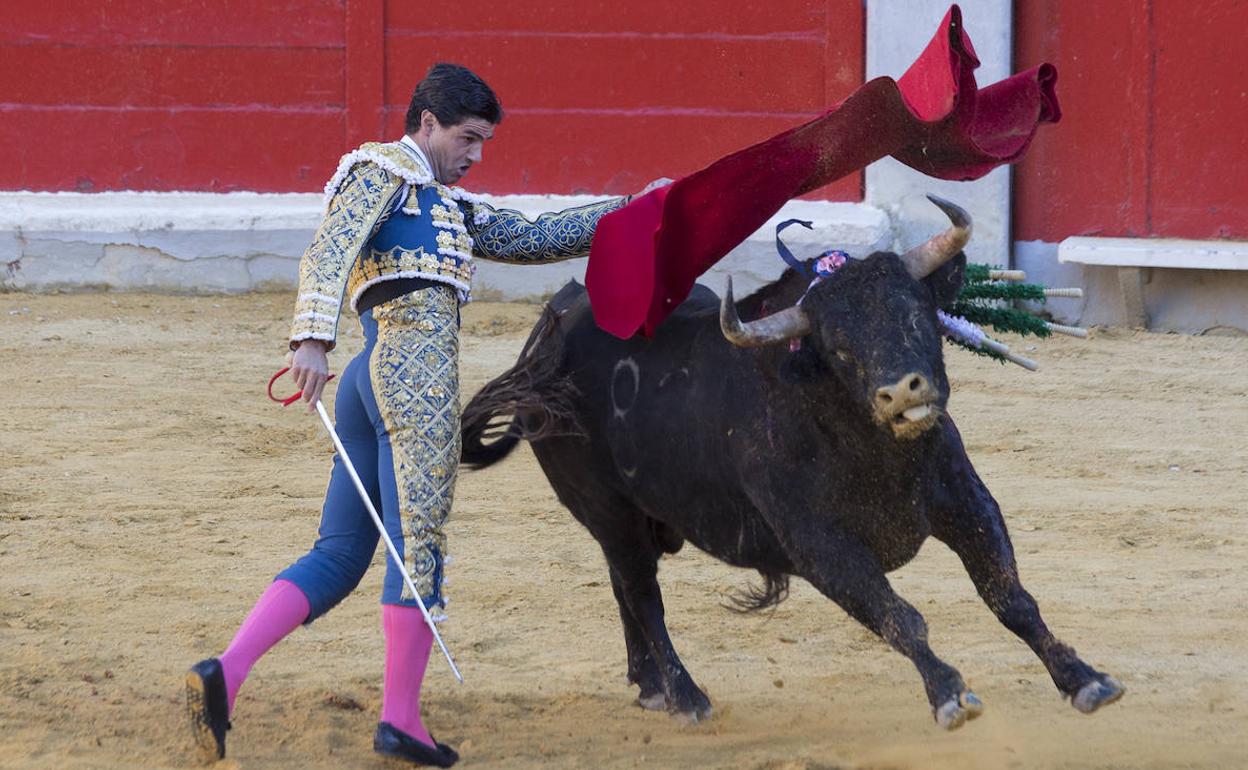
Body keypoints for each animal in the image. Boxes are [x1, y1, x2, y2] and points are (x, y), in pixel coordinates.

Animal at [459, 237, 1123, 728]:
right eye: (840, 348)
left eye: (915, 314)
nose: (900, 392)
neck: (870, 447)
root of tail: (546, 339)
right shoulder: (821, 547)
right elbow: (898, 616)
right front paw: (949, 695)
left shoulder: (967, 504)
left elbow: (1010, 597)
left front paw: (1085, 679)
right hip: (607, 510)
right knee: (644, 597)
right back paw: (686, 697)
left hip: (630, 521)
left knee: (625, 589)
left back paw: (651, 688)